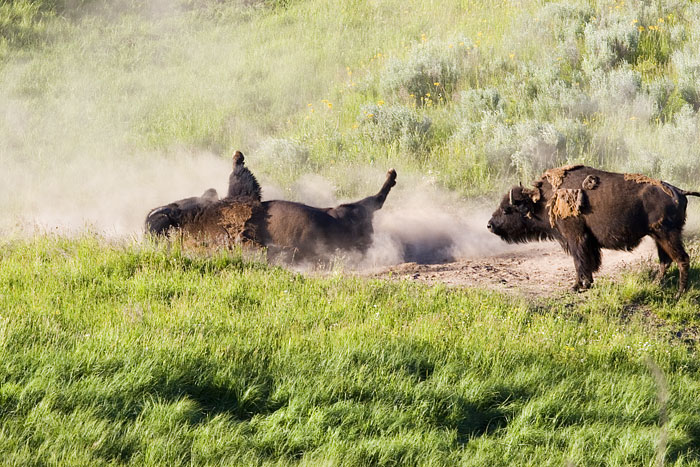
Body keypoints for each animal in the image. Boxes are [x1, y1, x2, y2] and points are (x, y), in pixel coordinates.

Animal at [145, 151, 396, 264]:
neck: (193, 218)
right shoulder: (240, 201)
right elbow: (240, 177)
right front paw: (238, 157)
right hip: (347, 210)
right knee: (375, 201)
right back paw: (390, 176)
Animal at [486, 165, 700, 296]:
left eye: (507, 209)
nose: (489, 225)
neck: (544, 200)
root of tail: (679, 191)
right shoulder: (585, 242)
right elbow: (587, 263)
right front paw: (584, 284)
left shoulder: (575, 238)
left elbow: (580, 262)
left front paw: (577, 286)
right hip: (658, 237)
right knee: (665, 261)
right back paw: (655, 285)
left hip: (667, 235)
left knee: (681, 259)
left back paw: (679, 294)